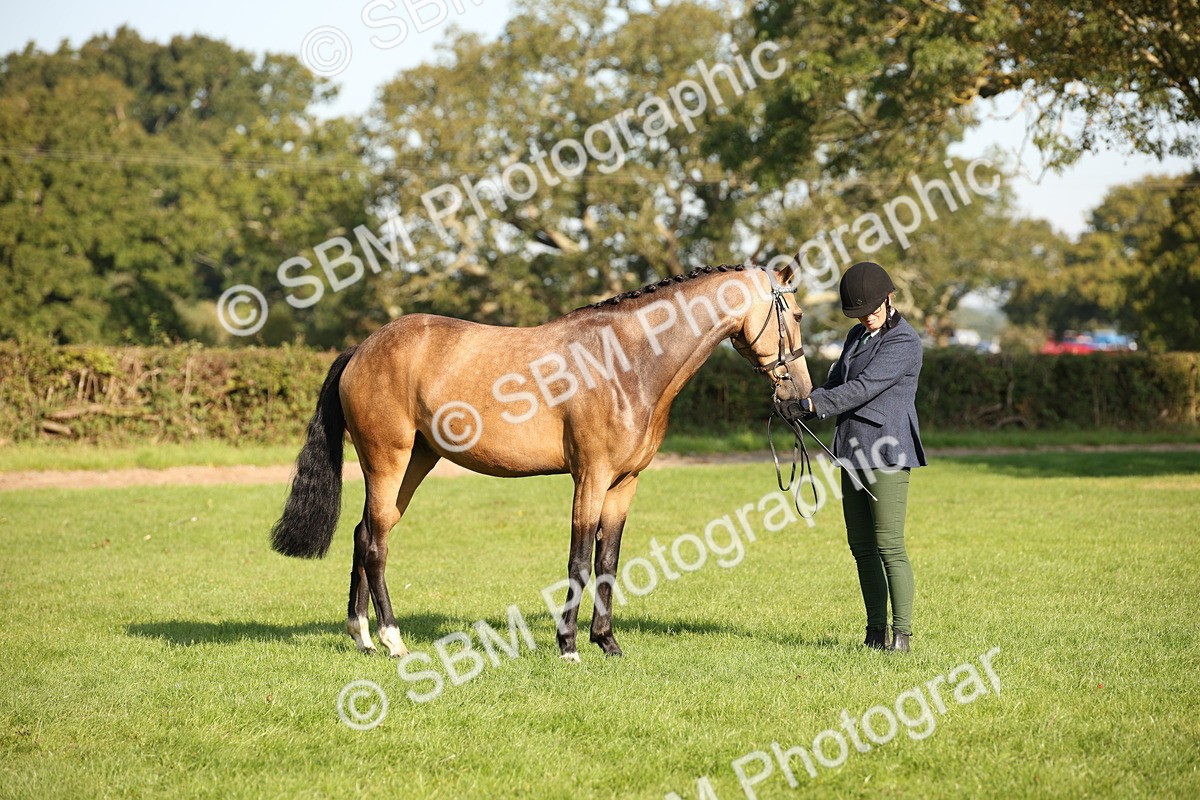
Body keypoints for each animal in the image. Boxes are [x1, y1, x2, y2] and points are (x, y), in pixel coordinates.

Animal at [270, 263, 812, 661]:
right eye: (799, 315)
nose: (801, 396)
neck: (626, 362)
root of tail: (361, 348)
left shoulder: (625, 483)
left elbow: (608, 562)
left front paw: (607, 643)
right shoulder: (590, 477)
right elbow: (579, 560)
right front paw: (568, 644)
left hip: (415, 464)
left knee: (365, 533)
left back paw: (361, 636)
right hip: (388, 461)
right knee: (377, 544)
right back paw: (392, 639)